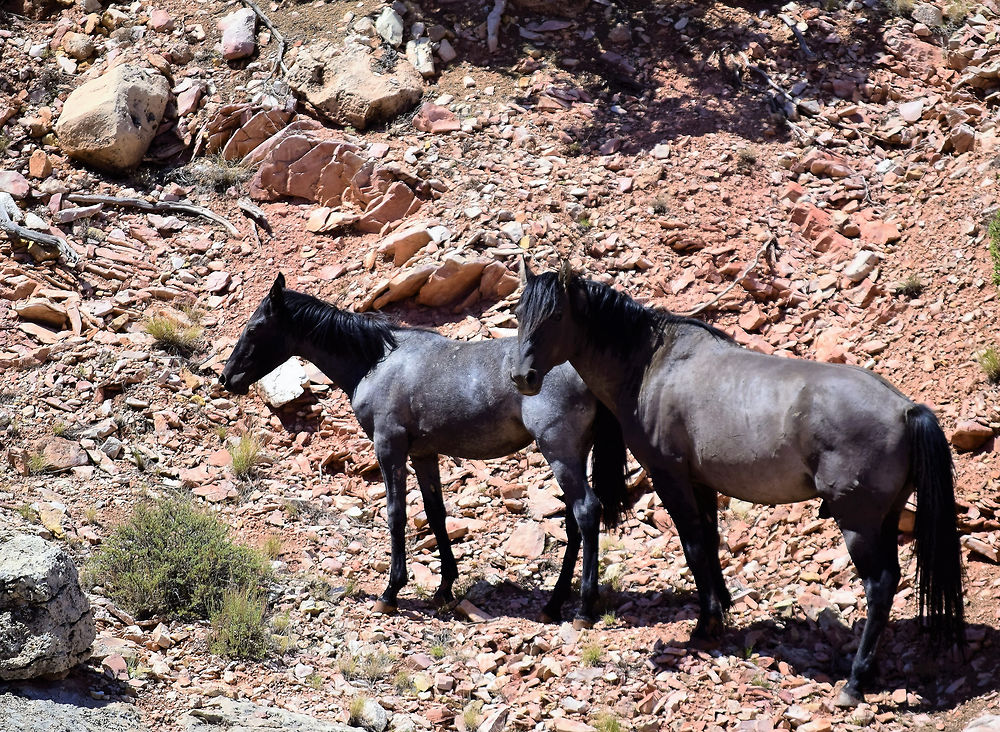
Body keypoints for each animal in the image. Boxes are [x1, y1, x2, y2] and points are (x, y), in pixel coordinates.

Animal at [220, 274, 628, 624]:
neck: (377, 361)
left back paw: (583, 609)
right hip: (573, 455)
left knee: (586, 511)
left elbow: (396, 514)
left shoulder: (390, 446)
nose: (226, 378)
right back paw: (553, 604)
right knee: (574, 522)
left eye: (255, 327)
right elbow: (436, 514)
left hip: (559, 451)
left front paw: (391, 591)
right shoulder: (423, 454)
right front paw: (445, 586)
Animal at [512, 262, 964, 704]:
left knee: (880, 585)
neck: (651, 366)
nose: (522, 377)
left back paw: (854, 682)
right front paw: (721, 611)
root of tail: (906, 409)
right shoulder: (701, 482)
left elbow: (693, 546)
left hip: (858, 523)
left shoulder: (670, 477)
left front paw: (705, 623)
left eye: (555, 316)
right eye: (518, 313)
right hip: (885, 517)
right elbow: (710, 543)